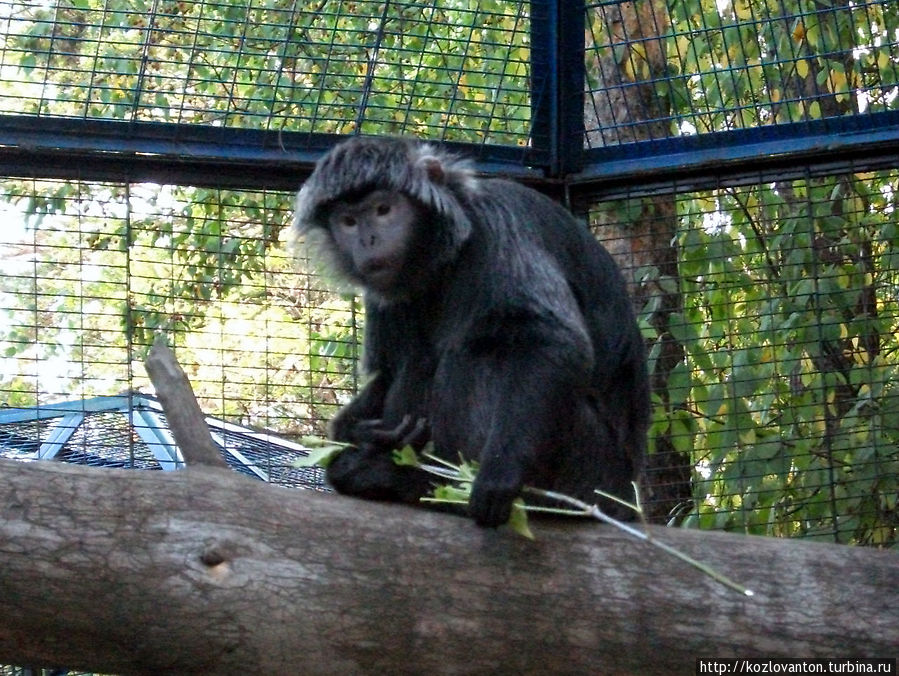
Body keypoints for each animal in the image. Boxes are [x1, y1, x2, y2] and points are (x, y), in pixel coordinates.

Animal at [296, 136, 648, 528]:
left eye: (383, 209)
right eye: (348, 221)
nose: (368, 240)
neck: (447, 255)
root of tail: (627, 495)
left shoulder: (499, 225)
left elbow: (552, 339)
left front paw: (499, 474)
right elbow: (387, 373)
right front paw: (357, 433)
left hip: (589, 475)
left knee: (478, 354)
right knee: (418, 361)